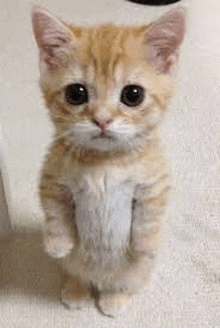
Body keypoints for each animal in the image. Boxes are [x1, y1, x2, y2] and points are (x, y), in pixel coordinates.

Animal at [31, 6, 186, 316]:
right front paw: (57, 242)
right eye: (76, 93)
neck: (104, 162)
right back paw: (77, 290)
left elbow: (149, 217)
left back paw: (113, 299)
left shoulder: (154, 182)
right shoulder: (52, 179)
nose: (102, 119)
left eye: (133, 95)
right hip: (73, 265)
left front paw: (146, 244)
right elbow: (55, 213)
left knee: (123, 283)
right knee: (76, 272)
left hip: (135, 274)